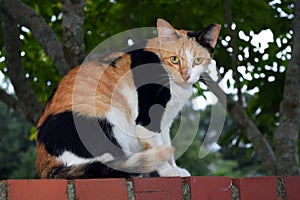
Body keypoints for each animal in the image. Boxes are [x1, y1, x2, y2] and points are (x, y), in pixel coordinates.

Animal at [37, 18, 220, 178]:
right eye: (175, 59)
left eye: (198, 60)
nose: (186, 75)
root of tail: (46, 167)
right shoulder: (147, 122)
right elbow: (160, 149)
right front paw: (169, 172)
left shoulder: (165, 122)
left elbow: (166, 145)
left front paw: (176, 169)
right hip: (105, 123)